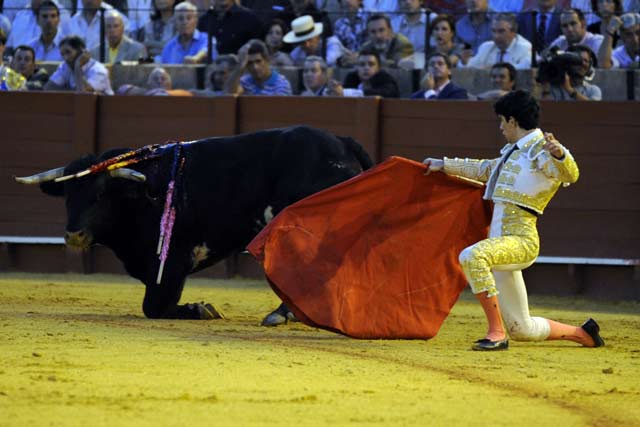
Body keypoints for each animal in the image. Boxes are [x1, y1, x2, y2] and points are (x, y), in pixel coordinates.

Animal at [17, 127, 372, 320]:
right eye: (67, 196)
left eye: (101, 195)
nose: (74, 235)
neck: (147, 191)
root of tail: (341, 141)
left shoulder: (173, 260)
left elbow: (154, 306)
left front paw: (202, 308)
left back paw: (283, 314)